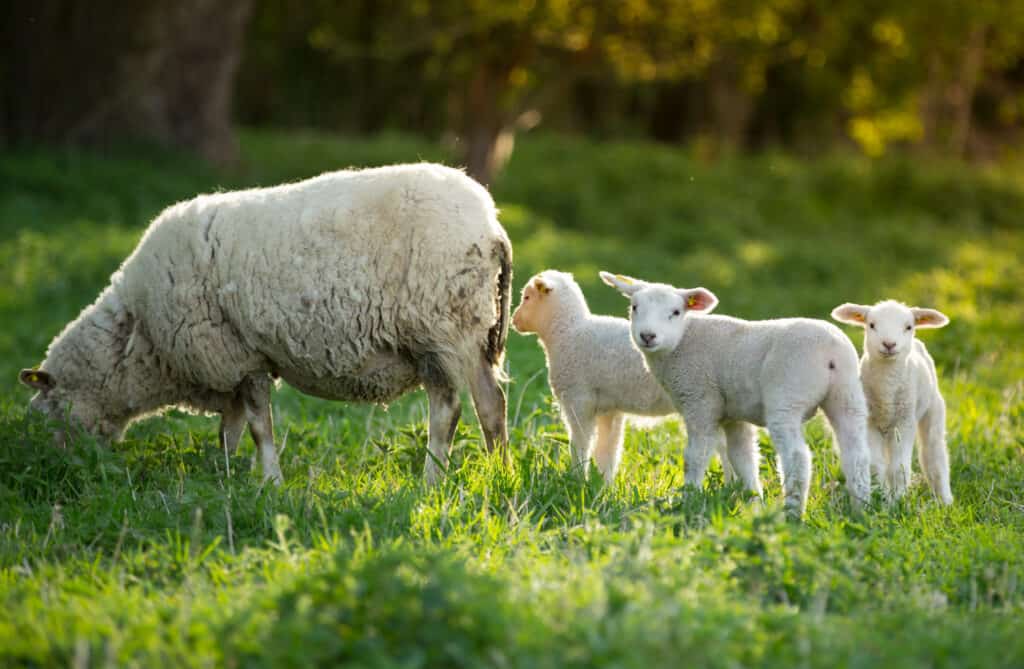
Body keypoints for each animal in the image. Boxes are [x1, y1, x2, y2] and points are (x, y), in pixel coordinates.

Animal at [22, 161, 520, 485]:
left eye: (50, 410)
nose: (57, 468)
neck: (141, 342)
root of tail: (492, 225)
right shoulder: (230, 365)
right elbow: (230, 430)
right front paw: (225, 479)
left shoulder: (238, 355)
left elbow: (259, 427)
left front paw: (271, 484)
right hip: (466, 332)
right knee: (491, 406)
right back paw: (501, 472)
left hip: (441, 328)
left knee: (451, 410)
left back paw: (432, 480)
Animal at [507, 268, 733, 483]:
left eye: (526, 297)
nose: (513, 320)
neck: (567, 332)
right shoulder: (609, 408)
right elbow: (608, 452)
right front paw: (603, 485)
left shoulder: (578, 399)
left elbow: (580, 445)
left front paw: (577, 479)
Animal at [598, 270, 872, 516]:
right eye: (634, 307)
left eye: (675, 312)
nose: (647, 336)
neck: (681, 342)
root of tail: (830, 352)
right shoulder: (734, 415)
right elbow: (744, 459)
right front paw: (754, 504)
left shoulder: (700, 400)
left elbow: (695, 456)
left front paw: (689, 500)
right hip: (847, 395)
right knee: (856, 455)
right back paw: (862, 509)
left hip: (787, 396)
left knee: (797, 458)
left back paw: (793, 514)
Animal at [831, 299, 950, 504]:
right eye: (871, 325)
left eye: (908, 327)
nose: (889, 344)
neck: (886, 388)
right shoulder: (870, 422)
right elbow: (876, 465)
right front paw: (879, 496)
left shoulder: (904, 422)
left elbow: (899, 468)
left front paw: (897, 500)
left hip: (932, 408)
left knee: (934, 454)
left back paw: (945, 500)